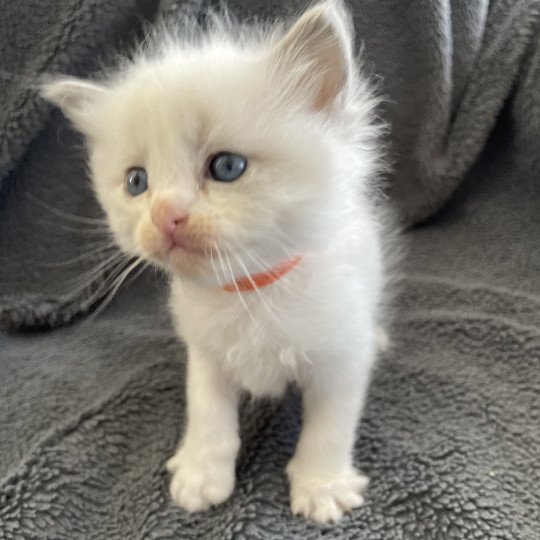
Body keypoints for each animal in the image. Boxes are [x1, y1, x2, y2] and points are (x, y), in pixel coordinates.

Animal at [42, 0, 388, 524]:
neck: (251, 290)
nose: (164, 215)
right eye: (137, 182)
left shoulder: (340, 354)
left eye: (227, 167)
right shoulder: (205, 354)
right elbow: (208, 414)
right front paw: (201, 473)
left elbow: (329, 426)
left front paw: (321, 485)